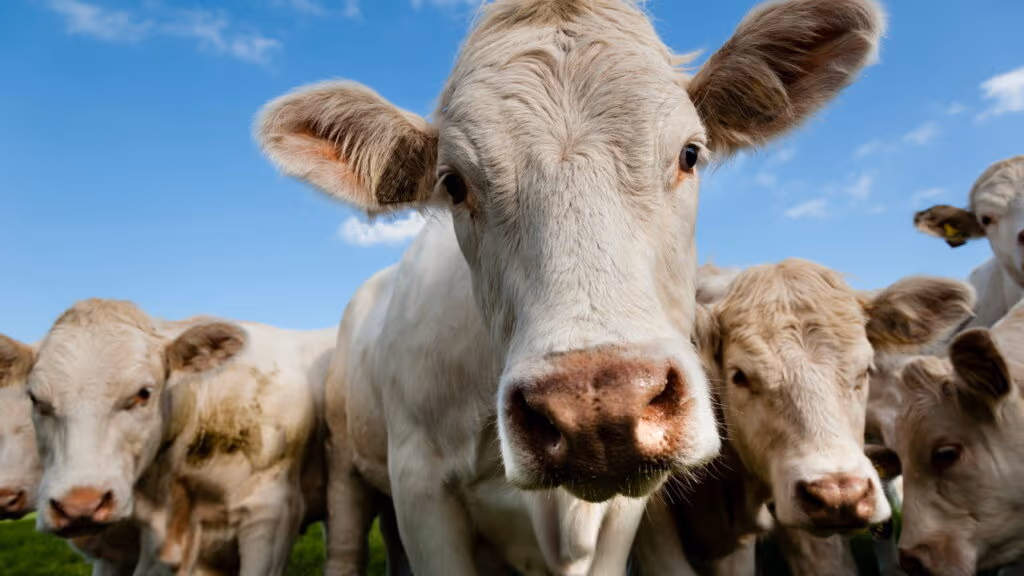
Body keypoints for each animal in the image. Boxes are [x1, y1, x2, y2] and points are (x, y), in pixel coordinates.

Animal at [256, 0, 885, 572]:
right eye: (454, 183)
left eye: (690, 153)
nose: (597, 406)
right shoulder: (420, 488)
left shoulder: (626, 516)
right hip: (348, 468)